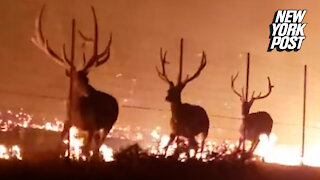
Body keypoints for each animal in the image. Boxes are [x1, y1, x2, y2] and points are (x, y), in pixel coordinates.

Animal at [31, 5, 119, 155]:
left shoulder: (92, 126)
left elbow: (86, 150)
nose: (89, 92)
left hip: (108, 125)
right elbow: (59, 142)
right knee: (96, 147)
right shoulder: (68, 121)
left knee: (97, 148)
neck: (78, 113)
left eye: (87, 79)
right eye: (75, 80)